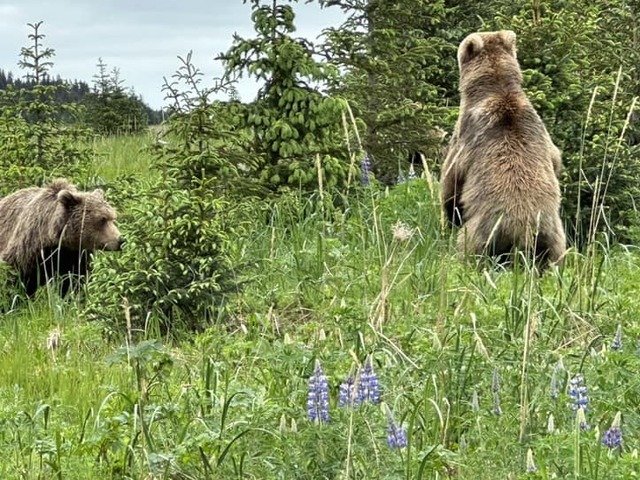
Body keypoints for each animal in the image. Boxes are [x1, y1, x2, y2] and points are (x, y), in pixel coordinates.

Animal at [442, 31, 568, 266]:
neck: (498, 89)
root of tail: (524, 234)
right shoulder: (540, 130)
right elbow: (556, 160)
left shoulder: (466, 135)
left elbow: (450, 182)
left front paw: (450, 215)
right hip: (553, 236)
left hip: (484, 230)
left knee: (468, 244)